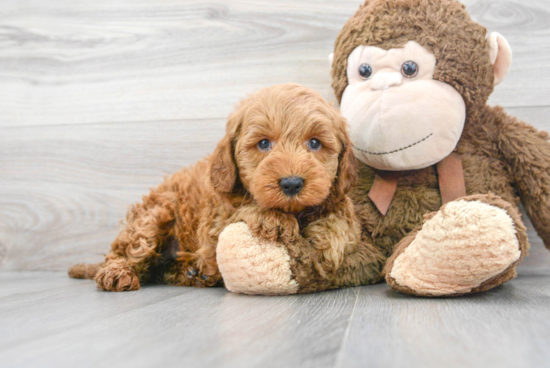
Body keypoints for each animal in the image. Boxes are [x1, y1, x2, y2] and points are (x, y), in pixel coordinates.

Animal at [70, 84, 376, 294]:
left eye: (314, 143)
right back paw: (116, 273)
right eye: (263, 143)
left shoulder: (336, 198)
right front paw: (273, 218)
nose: (291, 183)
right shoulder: (214, 222)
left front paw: (326, 242)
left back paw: (191, 273)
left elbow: (341, 220)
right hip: (153, 217)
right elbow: (243, 210)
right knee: (128, 250)